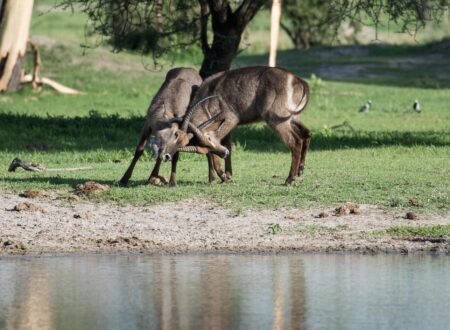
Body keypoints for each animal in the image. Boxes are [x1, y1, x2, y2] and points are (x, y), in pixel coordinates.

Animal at [160, 65, 312, 184]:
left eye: (209, 139)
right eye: (203, 149)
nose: (166, 156)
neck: (208, 97)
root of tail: (298, 80)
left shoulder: (231, 119)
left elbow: (222, 143)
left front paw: (224, 176)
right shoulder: (226, 129)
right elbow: (227, 147)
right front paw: (227, 175)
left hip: (276, 120)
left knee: (295, 141)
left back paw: (290, 179)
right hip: (292, 118)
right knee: (306, 134)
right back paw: (300, 172)